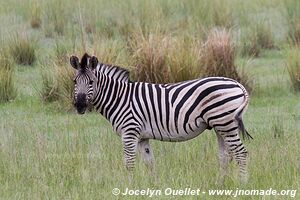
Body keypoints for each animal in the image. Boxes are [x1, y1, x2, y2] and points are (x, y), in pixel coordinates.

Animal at [70, 53, 253, 184]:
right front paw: (154, 186)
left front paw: (129, 186)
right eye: (74, 81)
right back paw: (220, 184)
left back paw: (242, 184)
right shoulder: (142, 137)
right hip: (220, 126)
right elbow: (149, 162)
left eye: (91, 82)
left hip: (225, 123)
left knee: (241, 153)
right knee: (226, 156)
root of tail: (237, 84)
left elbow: (129, 162)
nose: (79, 105)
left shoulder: (129, 132)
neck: (120, 98)